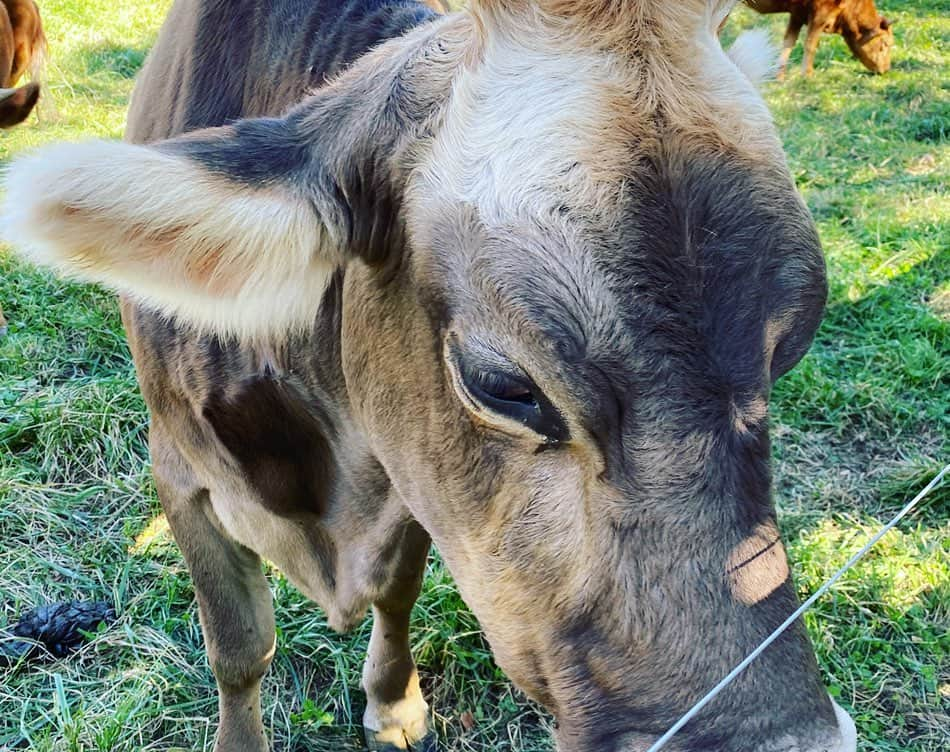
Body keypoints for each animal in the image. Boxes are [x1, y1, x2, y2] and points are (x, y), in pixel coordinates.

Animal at [3, 1, 860, 752]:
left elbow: (398, 593)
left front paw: (393, 706)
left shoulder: (410, 473)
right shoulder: (182, 470)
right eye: (501, 383)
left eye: (787, 350)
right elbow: (240, 649)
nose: (780, 738)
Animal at [748, 0, 896, 76]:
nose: (886, 69)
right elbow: (810, 45)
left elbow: (788, 42)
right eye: (885, 44)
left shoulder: (797, 15)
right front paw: (807, 75)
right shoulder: (819, 14)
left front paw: (779, 77)